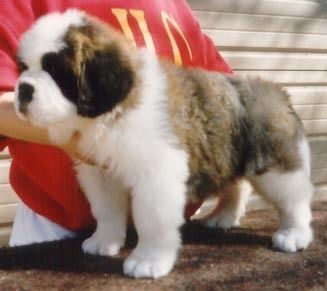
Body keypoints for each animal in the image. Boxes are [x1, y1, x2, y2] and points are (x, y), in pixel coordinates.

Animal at [14, 10, 316, 280]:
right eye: (23, 68)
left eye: (56, 71)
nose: (23, 90)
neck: (116, 108)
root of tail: (276, 90)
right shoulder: (101, 173)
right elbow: (106, 210)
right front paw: (104, 241)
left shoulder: (156, 173)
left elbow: (152, 219)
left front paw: (148, 261)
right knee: (237, 186)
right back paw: (224, 216)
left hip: (276, 166)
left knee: (294, 198)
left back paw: (294, 234)